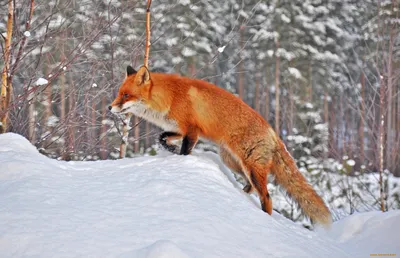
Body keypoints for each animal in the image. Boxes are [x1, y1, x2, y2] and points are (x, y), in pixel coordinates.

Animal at [108, 66, 332, 226]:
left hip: (250, 167)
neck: (169, 97)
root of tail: (274, 133)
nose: (109, 107)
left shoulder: (192, 131)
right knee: (251, 188)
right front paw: (169, 150)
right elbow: (161, 137)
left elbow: (185, 151)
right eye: (119, 93)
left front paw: (180, 158)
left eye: (126, 95)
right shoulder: (179, 129)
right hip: (233, 162)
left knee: (267, 197)